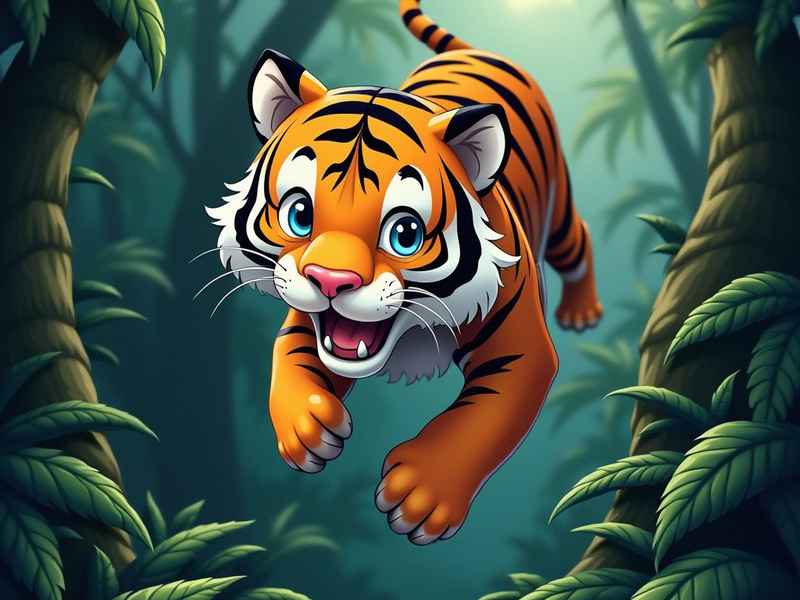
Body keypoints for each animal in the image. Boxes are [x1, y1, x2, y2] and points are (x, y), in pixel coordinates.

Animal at [206, 0, 603, 545]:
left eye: (405, 233)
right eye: (299, 214)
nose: (331, 281)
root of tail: (480, 51)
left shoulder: (523, 350)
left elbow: (483, 419)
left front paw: (423, 490)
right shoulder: (304, 317)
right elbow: (288, 356)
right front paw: (307, 424)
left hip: (559, 212)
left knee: (577, 237)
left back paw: (582, 311)